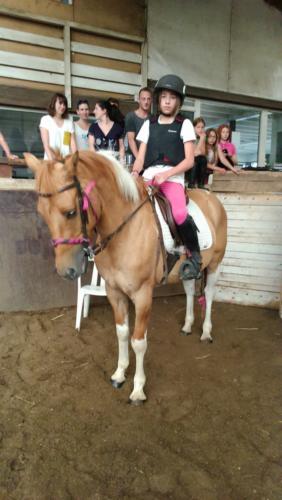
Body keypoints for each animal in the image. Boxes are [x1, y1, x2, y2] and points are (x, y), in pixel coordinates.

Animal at [24, 150, 227, 404]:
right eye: (42, 213)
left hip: (216, 263)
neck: (125, 229)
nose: (66, 271)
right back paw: (188, 326)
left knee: (208, 295)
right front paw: (119, 374)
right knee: (191, 290)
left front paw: (138, 389)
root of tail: (212, 198)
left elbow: (138, 342)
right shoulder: (114, 291)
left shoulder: (142, 295)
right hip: (188, 271)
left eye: (70, 212)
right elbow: (121, 333)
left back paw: (206, 332)